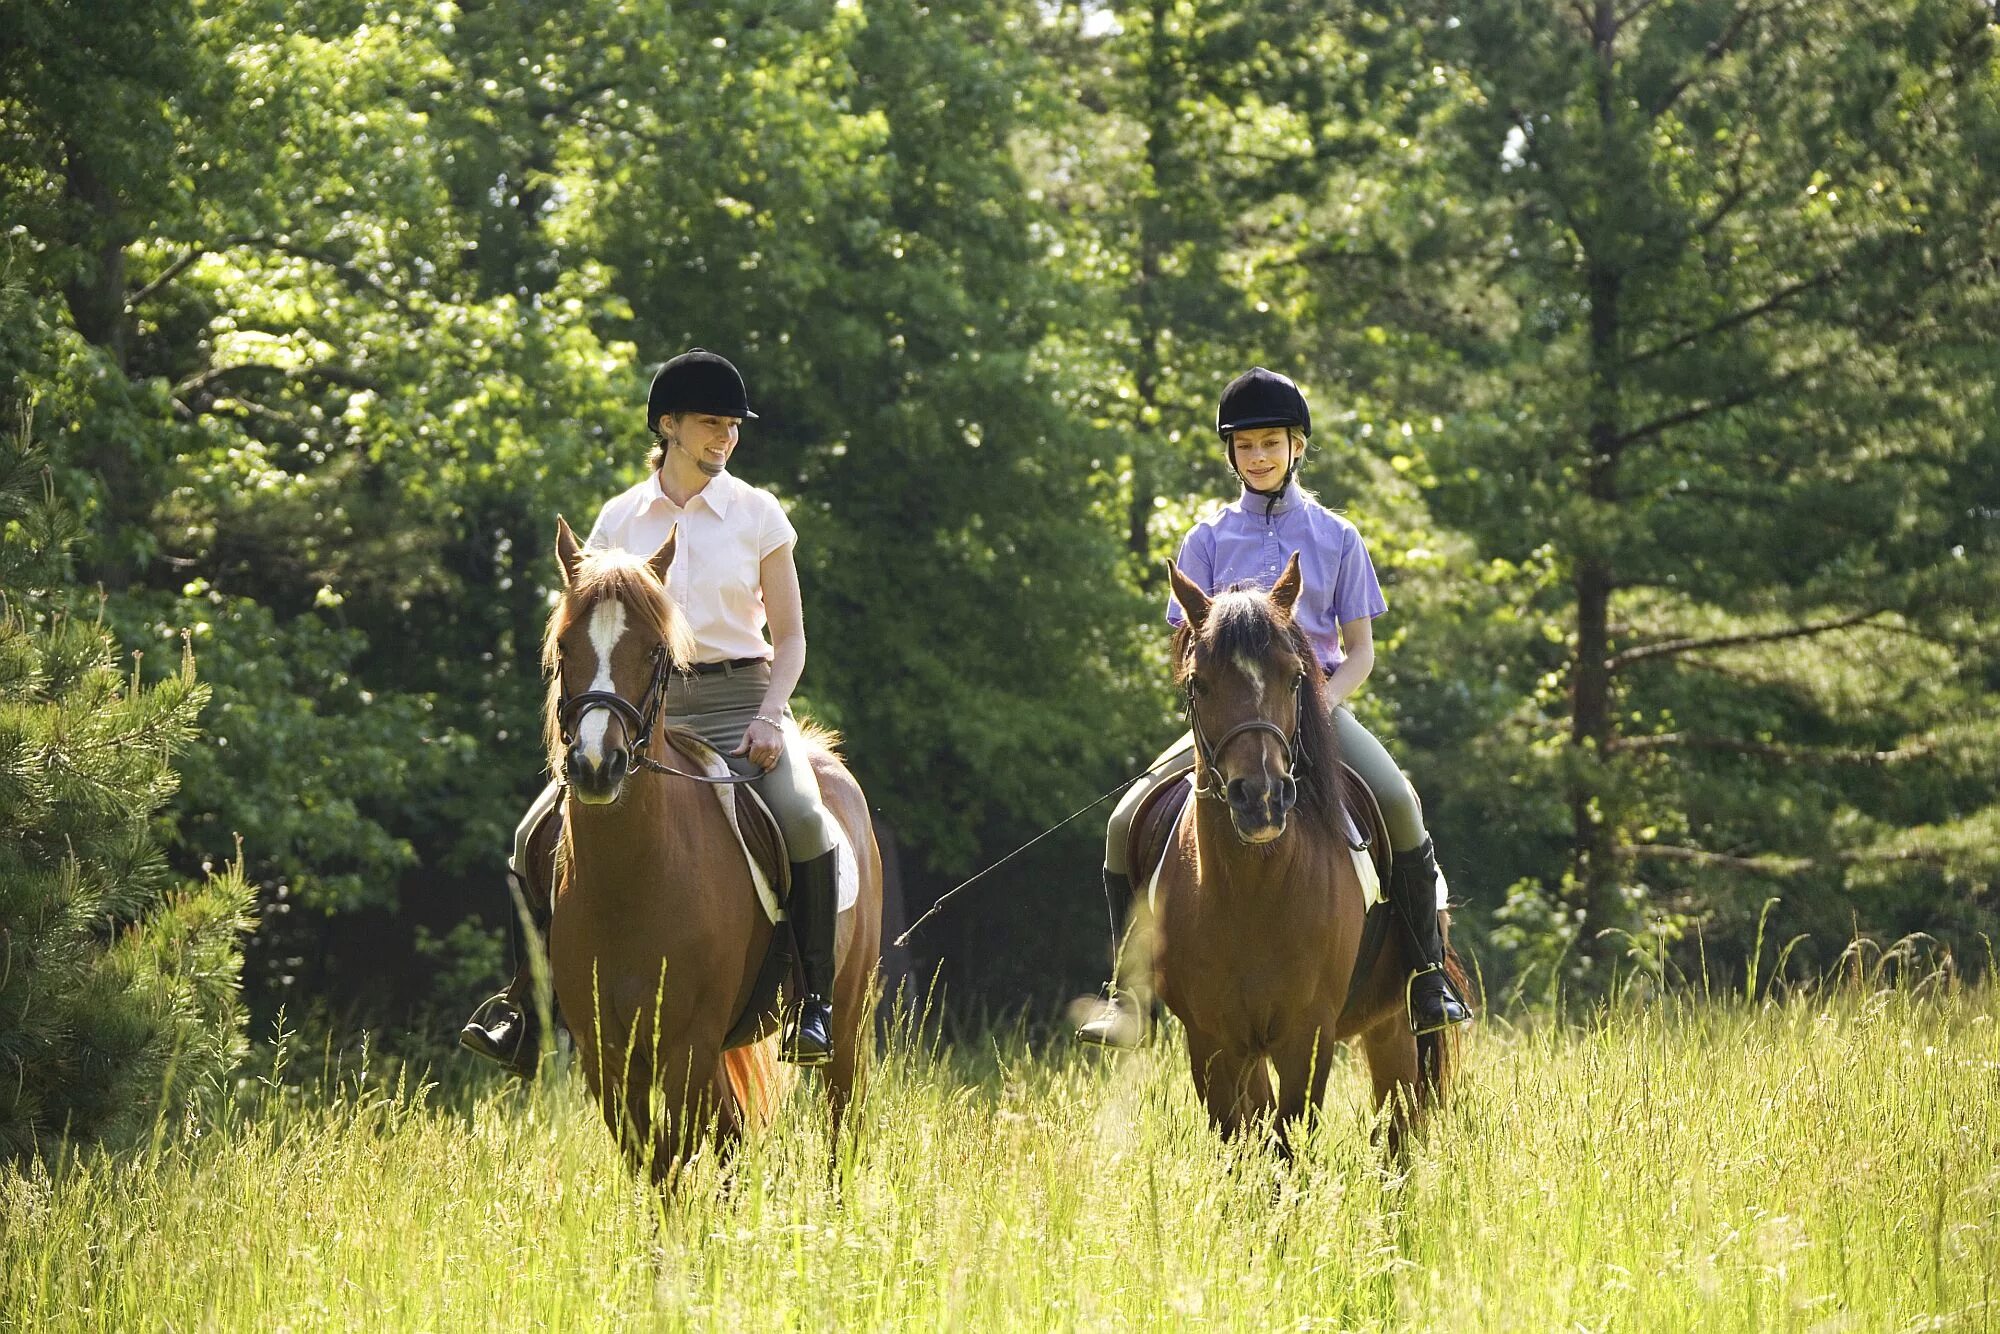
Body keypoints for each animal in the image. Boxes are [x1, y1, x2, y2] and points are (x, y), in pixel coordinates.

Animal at [544, 516, 880, 1184]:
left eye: (654, 652)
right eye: (566, 646)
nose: (596, 766)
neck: (629, 885)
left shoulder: (688, 1047)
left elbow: (690, 1156)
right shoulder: (608, 1059)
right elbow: (655, 1166)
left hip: (847, 1022)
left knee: (840, 1131)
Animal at [1152, 552, 1464, 1160]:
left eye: (1296, 677)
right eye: (1199, 683)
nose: (1261, 799)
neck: (1249, 891)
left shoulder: (1307, 1035)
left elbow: (1289, 1142)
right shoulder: (1213, 1042)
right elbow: (1243, 1145)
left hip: (1393, 1026)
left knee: (1398, 1128)